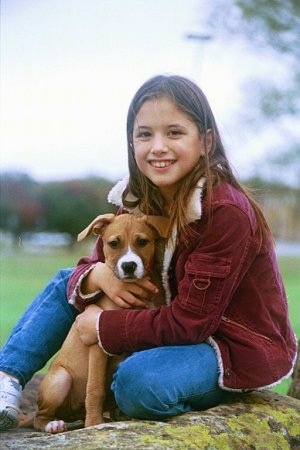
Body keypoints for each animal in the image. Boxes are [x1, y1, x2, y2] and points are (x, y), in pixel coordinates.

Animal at [20, 214, 169, 432]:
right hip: (60, 380)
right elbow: (95, 388)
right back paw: (54, 424)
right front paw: (93, 424)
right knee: (40, 416)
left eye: (142, 242)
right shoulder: (97, 344)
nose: (129, 266)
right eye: (113, 244)